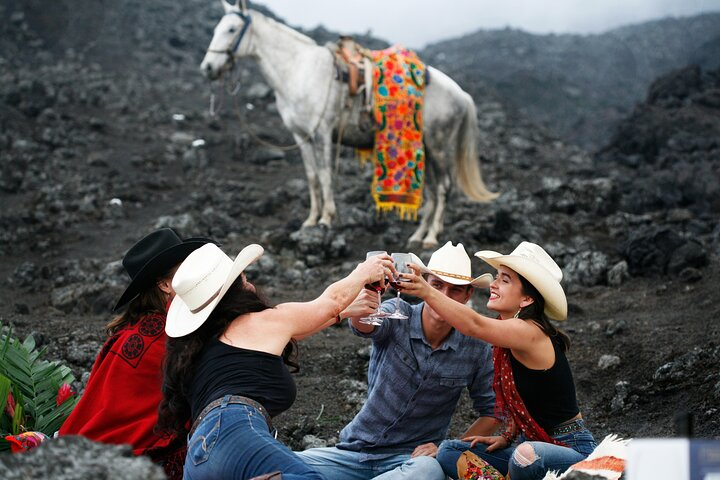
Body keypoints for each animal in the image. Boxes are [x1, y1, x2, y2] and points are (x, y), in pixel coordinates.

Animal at [200, 0, 498, 248]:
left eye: (231, 29)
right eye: (216, 28)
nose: (208, 68)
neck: (298, 71)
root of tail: (461, 93)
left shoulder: (321, 133)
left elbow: (324, 175)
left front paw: (326, 219)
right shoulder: (301, 136)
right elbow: (312, 177)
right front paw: (310, 220)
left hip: (438, 146)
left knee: (444, 188)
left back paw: (431, 237)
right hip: (424, 147)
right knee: (435, 191)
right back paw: (417, 236)